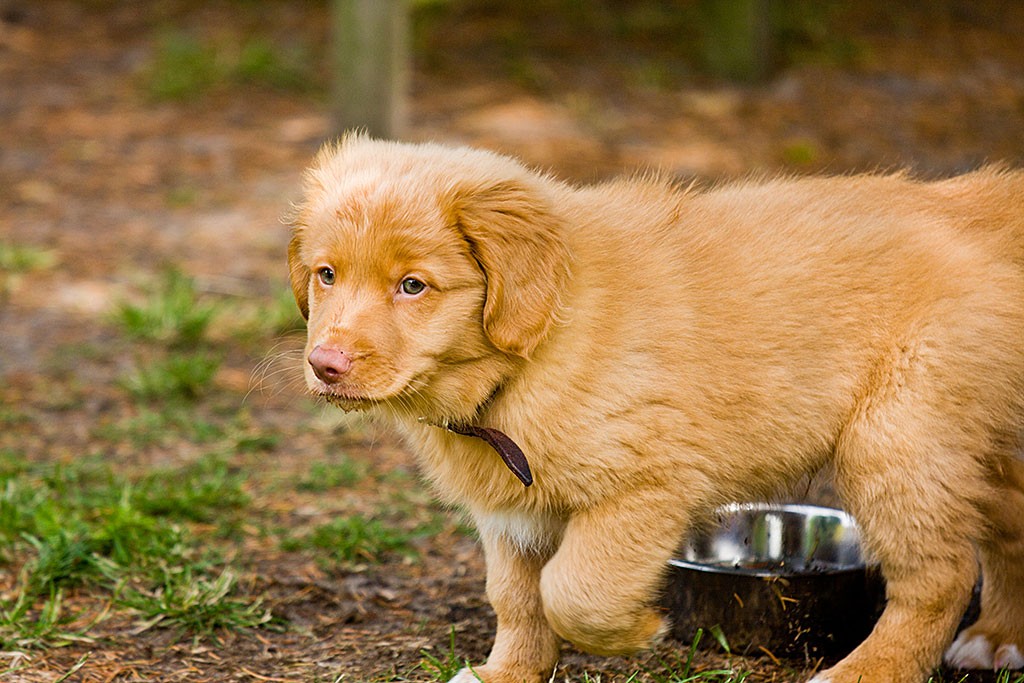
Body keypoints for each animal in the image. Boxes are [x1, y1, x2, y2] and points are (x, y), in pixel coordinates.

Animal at [288, 135, 1024, 683]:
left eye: (413, 286)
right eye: (327, 274)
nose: (325, 365)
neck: (526, 360)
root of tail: (981, 206)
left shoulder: (645, 486)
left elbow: (573, 589)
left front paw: (640, 628)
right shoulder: (510, 512)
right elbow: (517, 598)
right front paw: (508, 672)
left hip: (897, 437)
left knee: (941, 576)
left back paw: (866, 671)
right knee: (1008, 526)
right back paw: (997, 638)